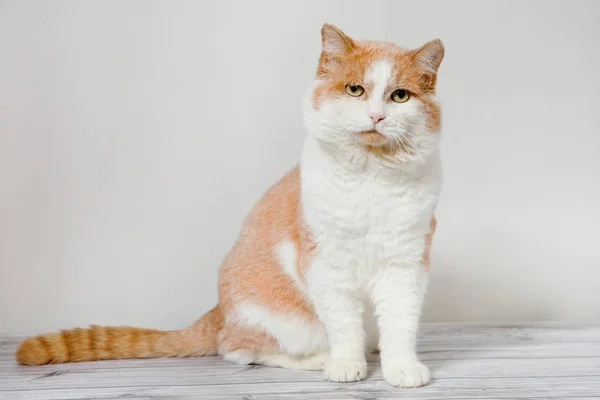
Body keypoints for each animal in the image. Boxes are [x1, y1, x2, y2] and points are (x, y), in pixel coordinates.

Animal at [15, 24, 446, 388]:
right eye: (355, 90)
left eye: (400, 96)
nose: (376, 116)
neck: (372, 178)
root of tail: (218, 311)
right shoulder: (328, 266)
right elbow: (343, 325)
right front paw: (344, 364)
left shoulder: (406, 264)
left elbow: (400, 323)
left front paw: (401, 368)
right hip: (282, 322)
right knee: (239, 349)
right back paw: (316, 359)